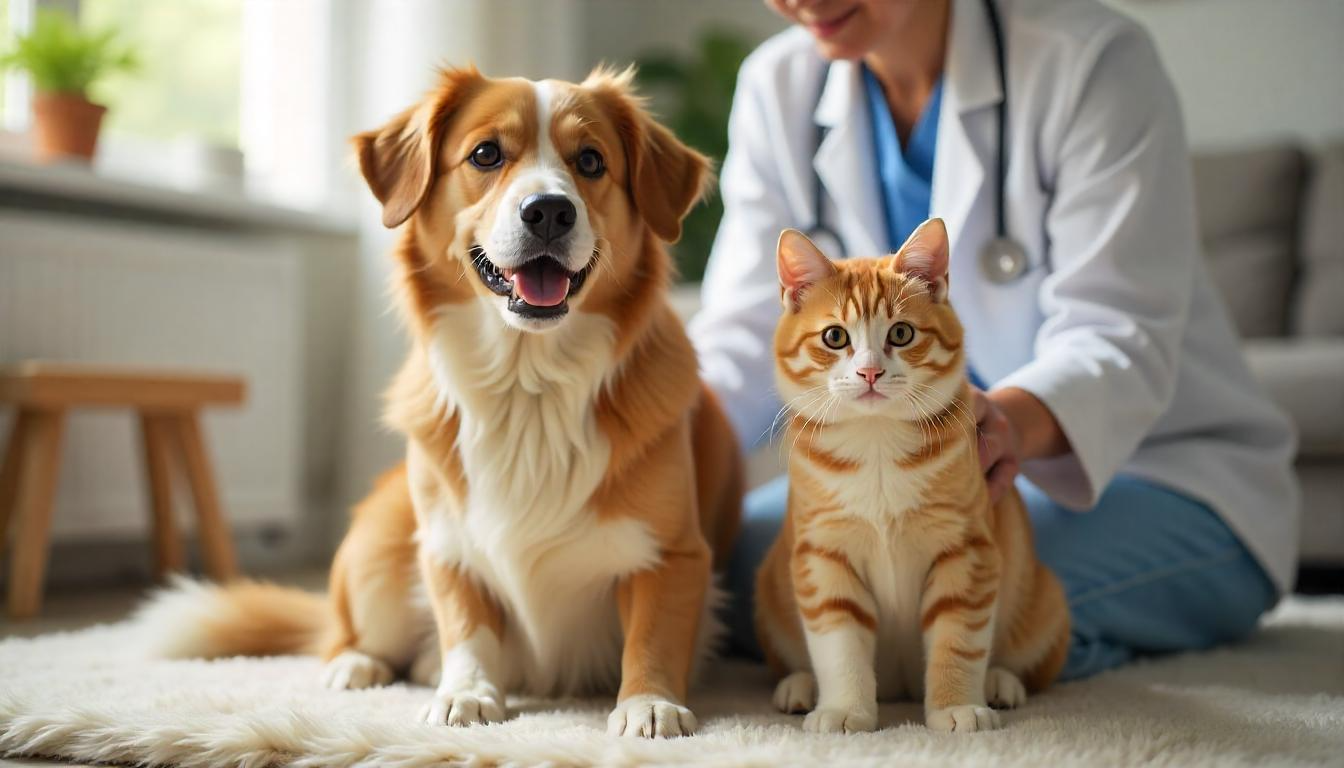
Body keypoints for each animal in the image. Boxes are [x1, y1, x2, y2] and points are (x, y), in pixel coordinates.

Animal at [143, 67, 752, 737]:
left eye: (591, 161)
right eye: (485, 154)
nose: (549, 211)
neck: (528, 386)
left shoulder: (674, 554)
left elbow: (651, 636)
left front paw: (648, 702)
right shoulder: (448, 544)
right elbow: (466, 625)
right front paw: (468, 693)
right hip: (378, 548)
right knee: (340, 634)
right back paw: (357, 664)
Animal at [758, 219, 1069, 737]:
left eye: (901, 333)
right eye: (835, 337)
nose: (869, 371)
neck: (876, 442)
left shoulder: (967, 549)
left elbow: (958, 640)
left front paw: (956, 706)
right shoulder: (822, 554)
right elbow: (838, 644)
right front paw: (844, 708)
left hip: (1045, 600)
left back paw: (1001, 681)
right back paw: (799, 686)